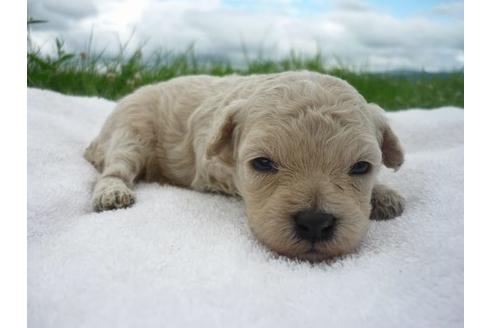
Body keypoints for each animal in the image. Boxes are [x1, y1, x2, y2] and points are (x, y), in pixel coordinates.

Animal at [86, 71, 406, 262]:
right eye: (262, 163)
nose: (315, 222)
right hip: (130, 130)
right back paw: (112, 192)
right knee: (116, 166)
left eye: (361, 167)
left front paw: (383, 194)